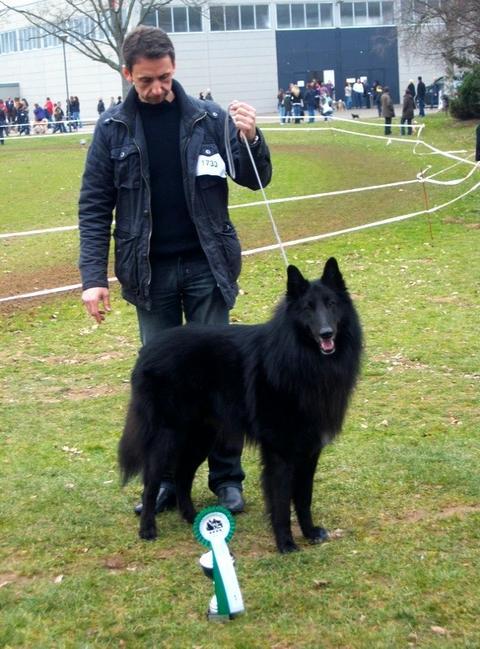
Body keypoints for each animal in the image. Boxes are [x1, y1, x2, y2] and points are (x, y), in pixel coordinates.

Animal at [118, 258, 362, 552]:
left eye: (331, 304)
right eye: (308, 308)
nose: (327, 333)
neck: (302, 360)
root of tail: (147, 351)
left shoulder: (310, 449)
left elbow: (304, 497)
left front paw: (310, 532)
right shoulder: (279, 451)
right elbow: (281, 500)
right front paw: (286, 544)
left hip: (202, 436)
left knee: (182, 474)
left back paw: (192, 518)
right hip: (169, 435)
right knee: (152, 481)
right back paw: (148, 529)